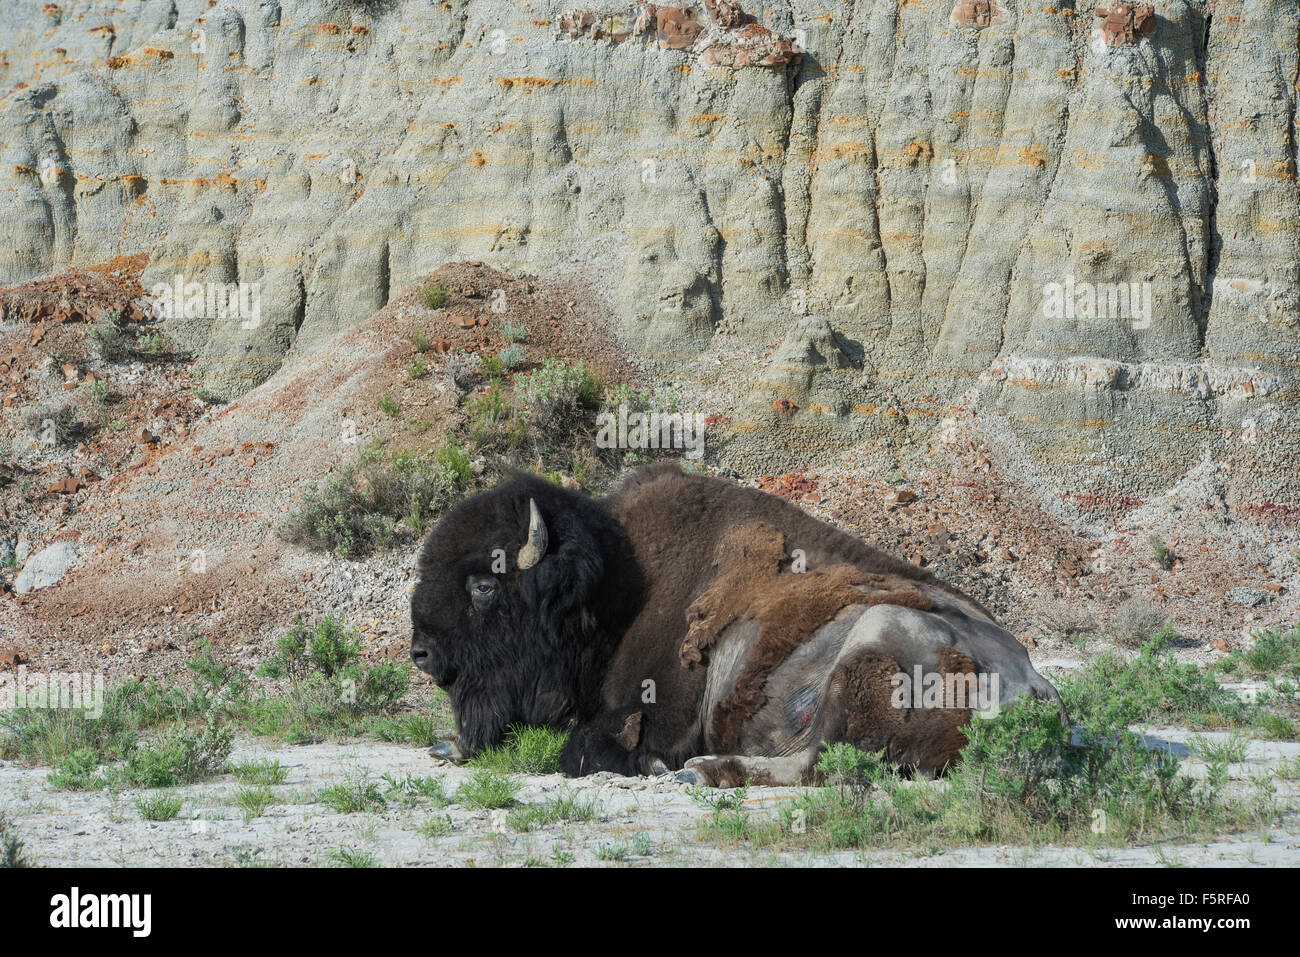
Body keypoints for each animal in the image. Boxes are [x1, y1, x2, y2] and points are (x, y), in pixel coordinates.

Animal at [410, 462, 1060, 785]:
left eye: (484, 586)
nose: (421, 653)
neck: (616, 588)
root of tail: (1041, 692)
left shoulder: (651, 714)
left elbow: (584, 750)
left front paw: (651, 765)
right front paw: (448, 745)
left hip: (874, 638)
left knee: (816, 762)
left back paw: (700, 773)